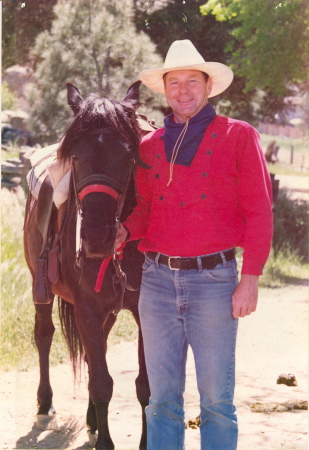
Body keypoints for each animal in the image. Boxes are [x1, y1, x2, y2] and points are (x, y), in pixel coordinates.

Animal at [22, 81, 150, 450]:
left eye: (128, 156)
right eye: (76, 156)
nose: (96, 237)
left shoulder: (142, 310)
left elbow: (144, 385)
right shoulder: (87, 308)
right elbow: (102, 383)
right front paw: (105, 442)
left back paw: (92, 419)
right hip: (42, 289)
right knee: (44, 335)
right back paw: (45, 401)